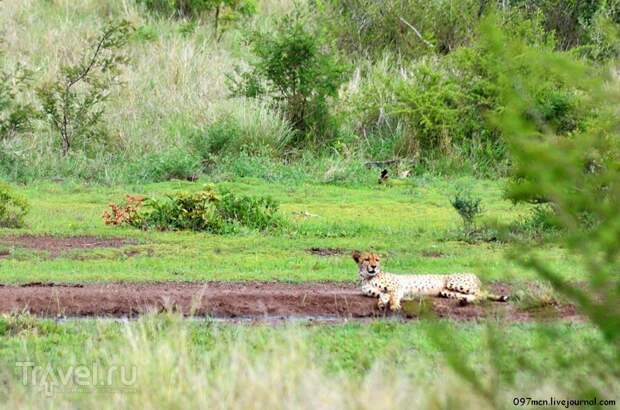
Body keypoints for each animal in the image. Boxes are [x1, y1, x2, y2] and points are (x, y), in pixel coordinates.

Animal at [354, 250, 508, 310]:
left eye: (377, 260)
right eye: (367, 259)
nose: (374, 266)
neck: (368, 277)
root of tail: (475, 275)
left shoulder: (398, 287)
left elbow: (394, 297)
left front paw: (395, 306)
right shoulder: (383, 292)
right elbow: (383, 296)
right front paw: (381, 304)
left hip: (453, 282)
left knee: (483, 294)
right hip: (447, 292)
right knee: (475, 296)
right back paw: (463, 301)